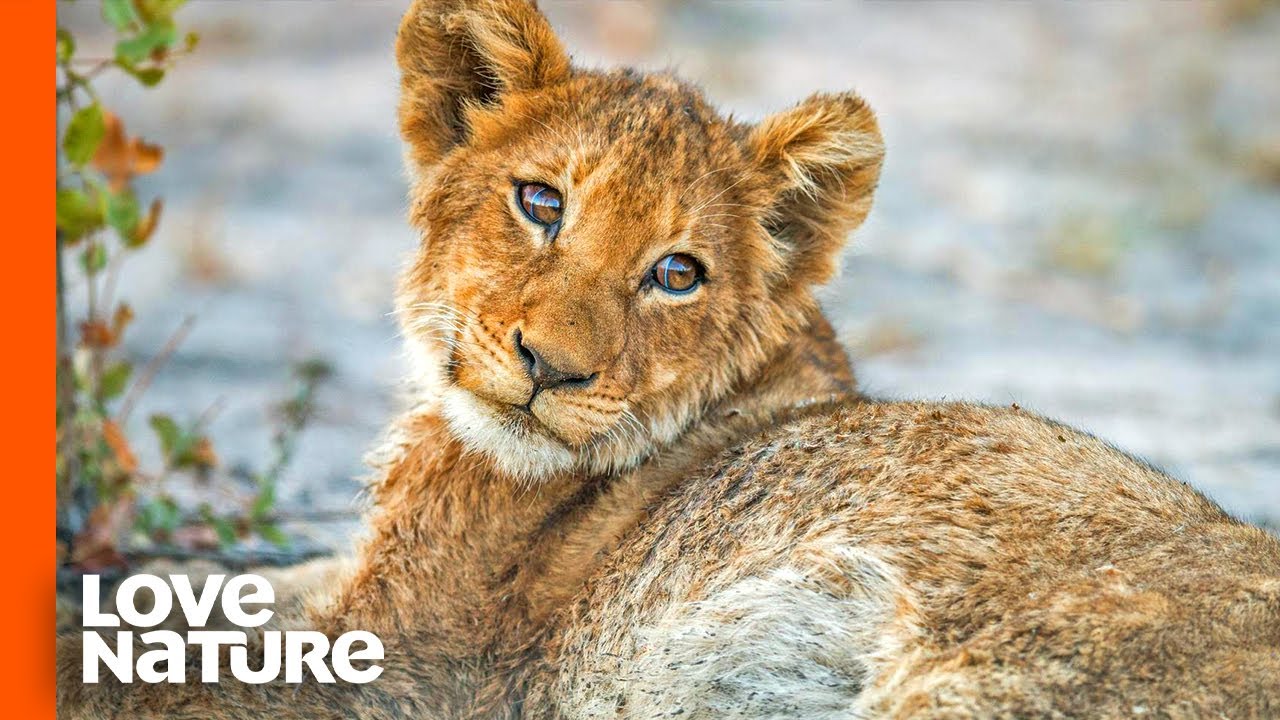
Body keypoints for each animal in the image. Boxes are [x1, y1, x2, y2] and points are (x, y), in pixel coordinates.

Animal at [57, 0, 1280, 718]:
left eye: (677, 273)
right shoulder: (345, 590)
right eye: (540, 203)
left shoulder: (411, 667)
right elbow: (200, 596)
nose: (549, 367)